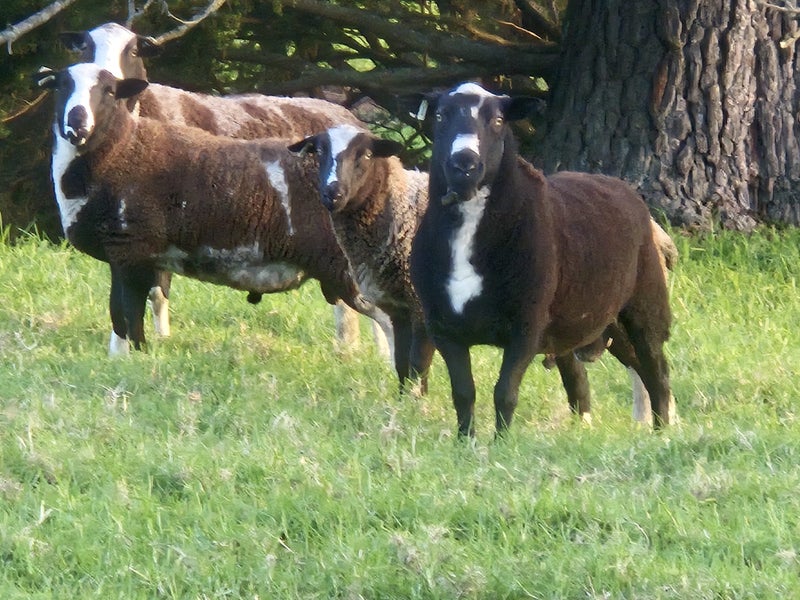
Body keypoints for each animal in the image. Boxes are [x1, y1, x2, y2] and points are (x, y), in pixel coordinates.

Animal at [59, 22, 389, 356]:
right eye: (85, 47)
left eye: (134, 50)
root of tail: (347, 116)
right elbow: (146, 292)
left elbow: (152, 289)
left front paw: (153, 341)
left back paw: (361, 349)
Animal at [288, 124, 435, 393]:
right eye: (319, 151)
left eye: (367, 155)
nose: (332, 193)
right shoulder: (399, 308)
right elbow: (401, 363)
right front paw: (401, 400)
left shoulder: (422, 304)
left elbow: (418, 364)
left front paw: (417, 401)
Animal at [410, 82, 673, 437]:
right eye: (439, 116)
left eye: (497, 121)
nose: (464, 164)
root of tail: (618, 184)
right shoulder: (444, 326)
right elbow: (463, 393)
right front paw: (465, 441)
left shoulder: (527, 324)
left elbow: (505, 393)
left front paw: (501, 443)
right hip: (591, 322)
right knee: (584, 380)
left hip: (644, 306)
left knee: (656, 370)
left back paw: (662, 431)